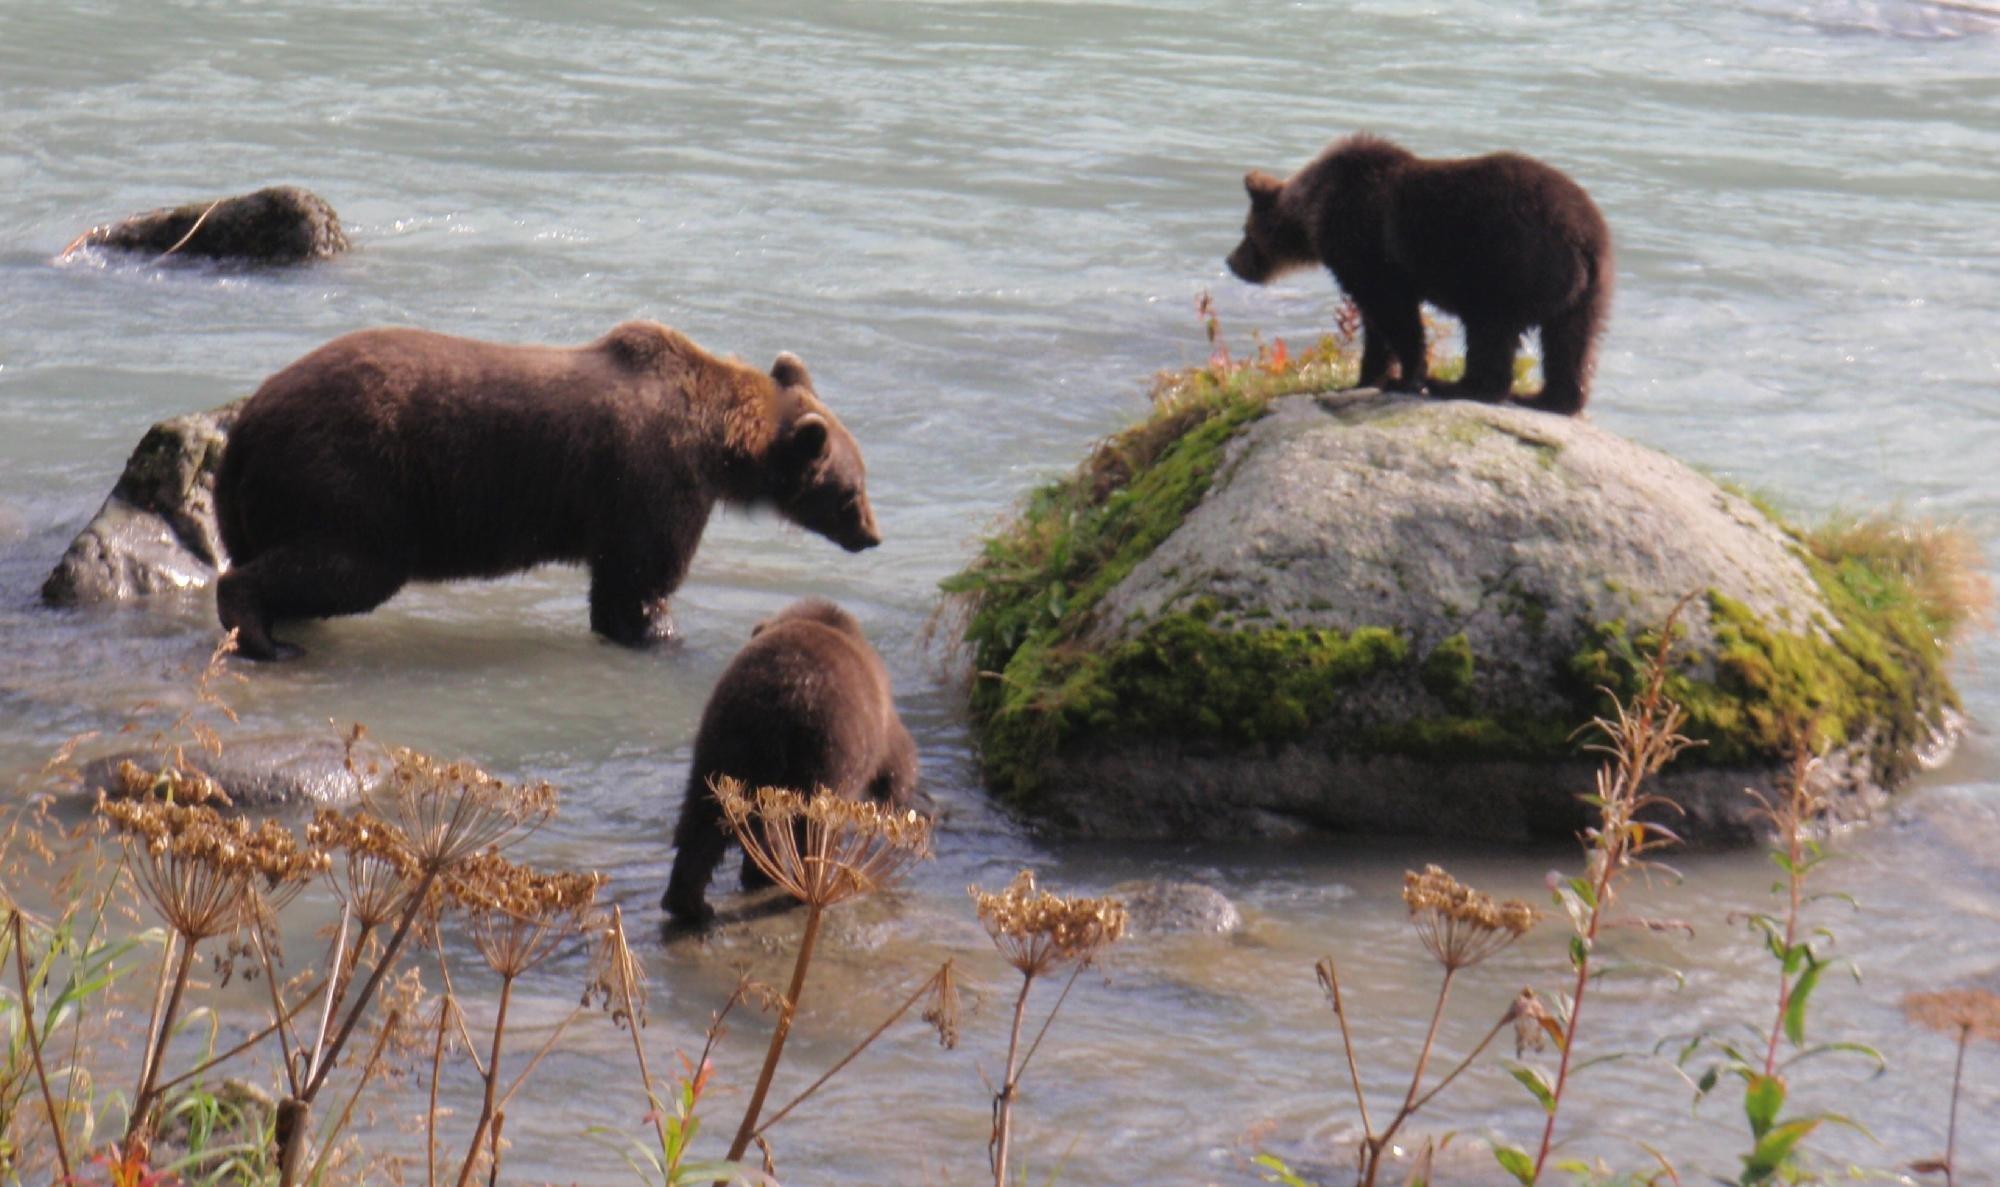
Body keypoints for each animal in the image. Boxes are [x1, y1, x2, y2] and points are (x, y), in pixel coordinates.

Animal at [211, 321, 884, 655]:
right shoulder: (653, 483)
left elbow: (618, 583)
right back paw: (265, 639)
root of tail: (247, 425)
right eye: (852, 491)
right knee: (344, 566)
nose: (873, 536)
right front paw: (658, 634)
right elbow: (643, 579)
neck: (720, 441)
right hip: (353, 478)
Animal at [672, 595, 920, 919]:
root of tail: (779, 697)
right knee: (814, 823)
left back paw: (692, 902)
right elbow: (896, 756)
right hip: (826, 749)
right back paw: (811, 883)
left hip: (726, 740)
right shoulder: (878, 722)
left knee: (703, 814)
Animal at [1216, 131, 1608, 411]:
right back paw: (1549, 398)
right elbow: (1376, 323)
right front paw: (1368, 377)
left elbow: (1393, 313)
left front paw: (1406, 376)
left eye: (1246, 232)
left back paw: (1461, 386)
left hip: (1503, 264)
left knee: (1490, 329)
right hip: (1591, 288)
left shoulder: (1366, 248)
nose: (1232, 262)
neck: (1315, 211)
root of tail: (1581, 239)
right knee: (1572, 341)